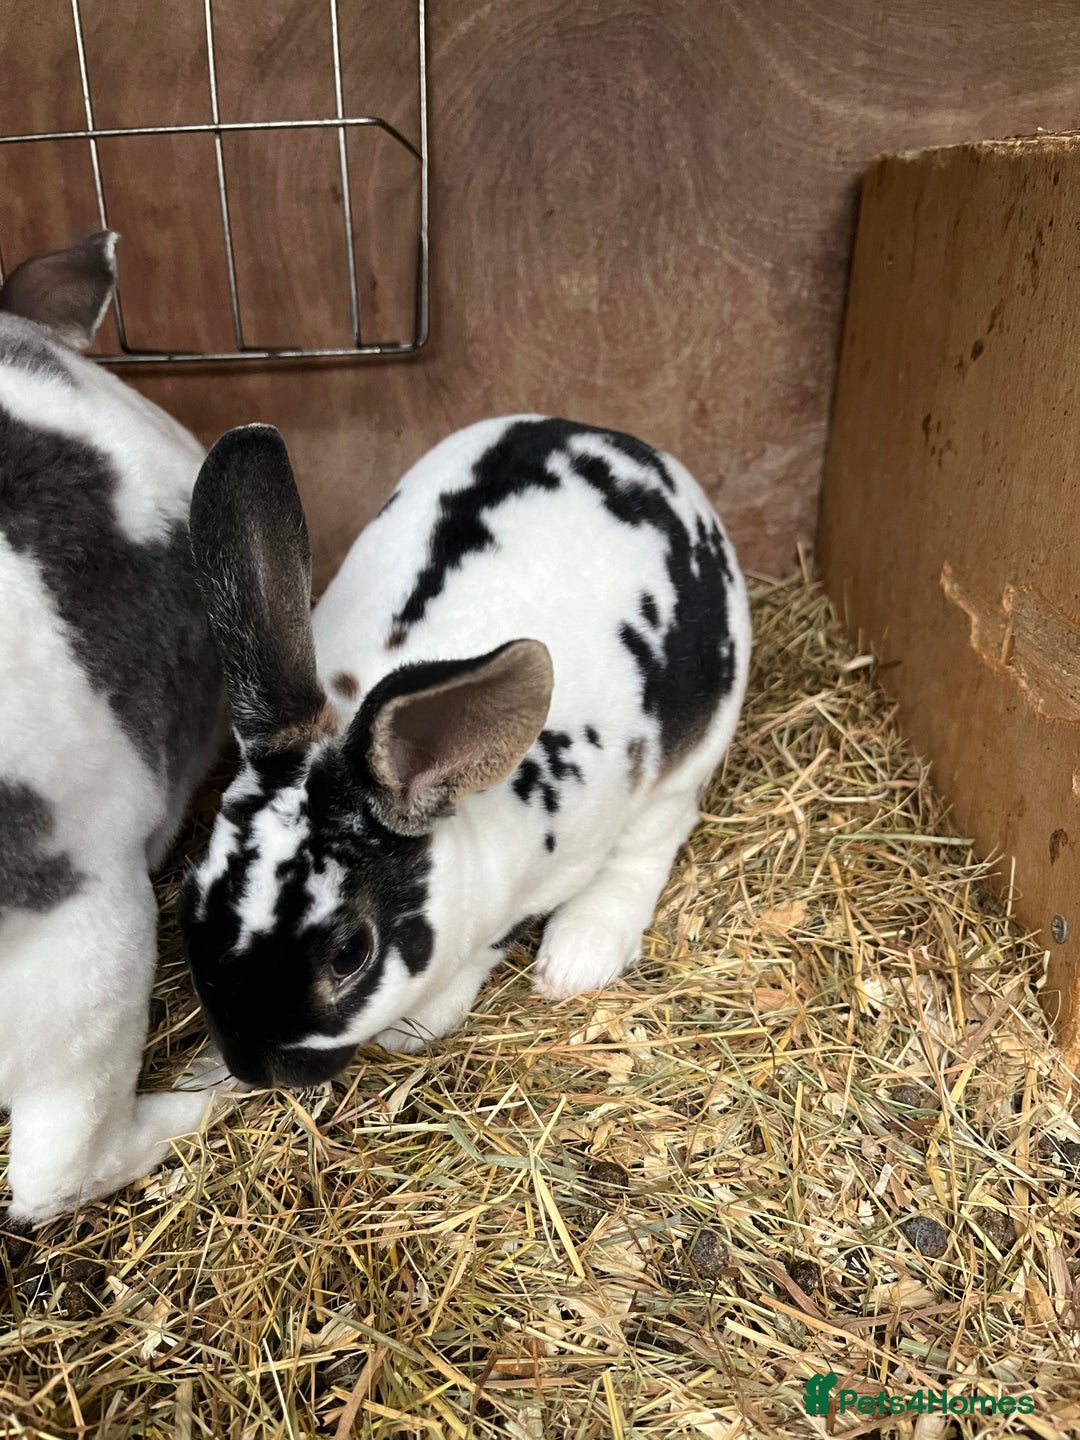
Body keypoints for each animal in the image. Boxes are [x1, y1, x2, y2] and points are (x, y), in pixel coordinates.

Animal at [181, 415, 751, 1086]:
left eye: (351, 954)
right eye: (192, 895)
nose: (250, 1066)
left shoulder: (556, 870)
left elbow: (495, 943)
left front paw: (413, 1027)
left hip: (694, 748)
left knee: (657, 834)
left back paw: (578, 956)